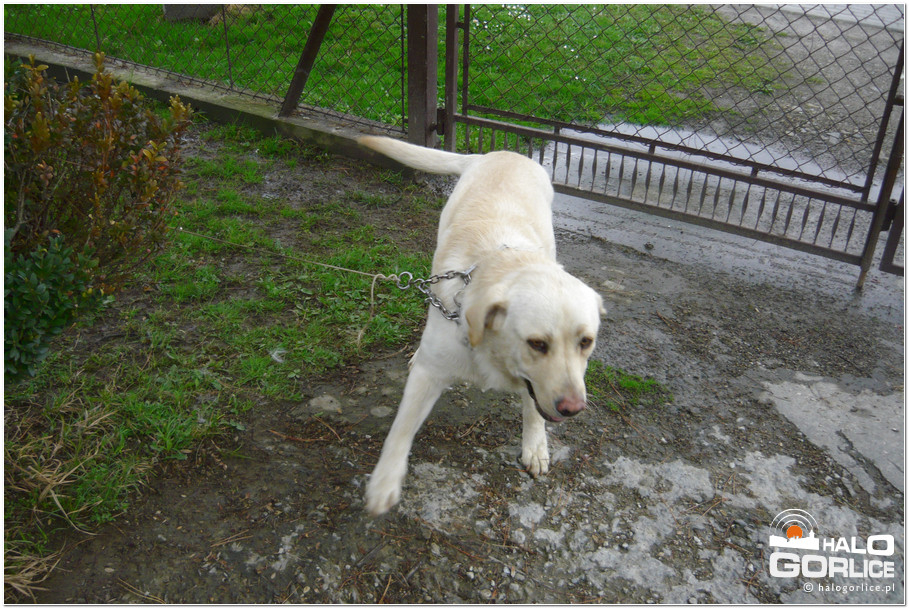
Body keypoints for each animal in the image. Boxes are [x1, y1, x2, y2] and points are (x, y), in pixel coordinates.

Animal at [358, 136, 605, 516]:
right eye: (537, 343)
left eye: (586, 342)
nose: (573, 409)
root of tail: (503, 152)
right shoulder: (428, 375)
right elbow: (400, 428)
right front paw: (384, 481)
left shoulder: (536, 387)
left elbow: (533, 407)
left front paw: (535, 445)